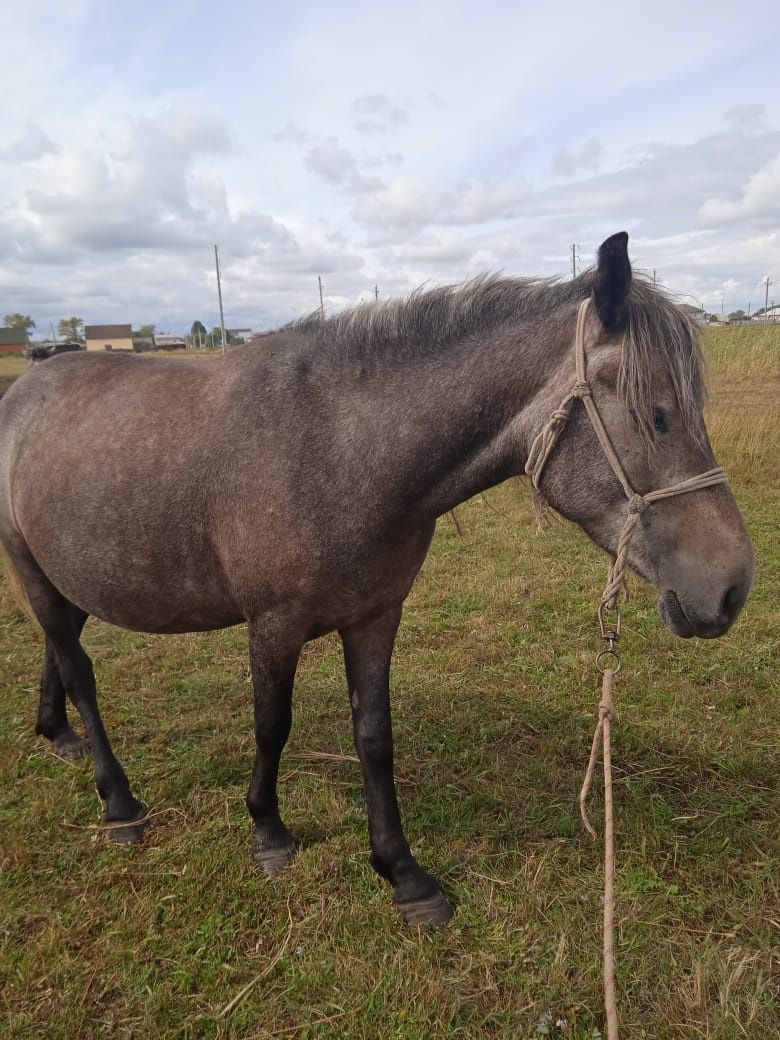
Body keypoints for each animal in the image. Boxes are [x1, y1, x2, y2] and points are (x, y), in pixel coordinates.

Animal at [1, 236, 757, 927]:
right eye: (655, 413)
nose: (732, 586)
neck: (339, 449)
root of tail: (26, 389)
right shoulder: (273, 626)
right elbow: (272, 726)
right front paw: (268, 832)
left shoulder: (375, 616)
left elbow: (374, 736)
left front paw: (402, 873)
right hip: (33, 569)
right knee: (79, 669)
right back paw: (119, 802)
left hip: (70, 573)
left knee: (59, 652)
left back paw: (56, 733)